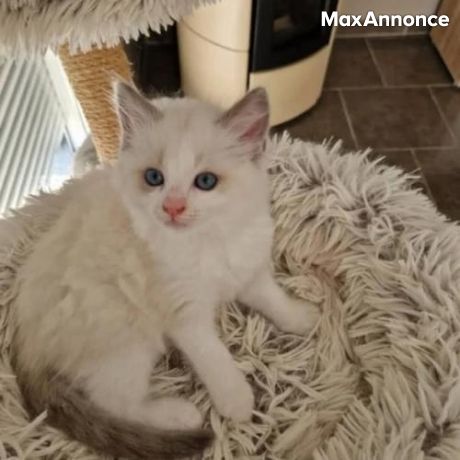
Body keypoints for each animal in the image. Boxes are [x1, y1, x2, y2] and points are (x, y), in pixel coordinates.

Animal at [12, 82, 319, 459]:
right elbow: (215, 358)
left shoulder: (249, 268)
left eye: (206, 181)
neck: (210, 240)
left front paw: (301, 317)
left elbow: (273, 298)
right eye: (154, 178)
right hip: (127, 339)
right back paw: (180, 413)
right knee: (115, 402)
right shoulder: (185, 314)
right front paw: (236, 400)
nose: (173, 207)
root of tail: (23, 343)